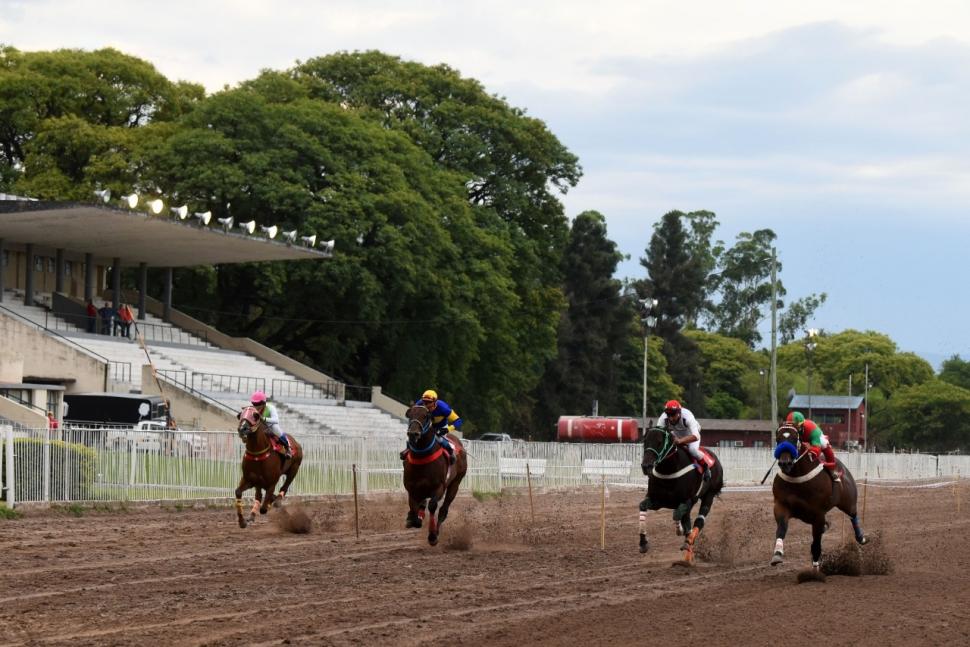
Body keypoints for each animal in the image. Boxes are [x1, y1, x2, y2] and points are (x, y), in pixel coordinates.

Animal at [402, 404, 466, 548]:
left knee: (443, 509)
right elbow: (413, 505)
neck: (422, 456)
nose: (413, 433)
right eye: (410, 415)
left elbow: (432, 506)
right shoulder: (411, 487)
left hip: (455, 483)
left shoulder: (438, 487)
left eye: (425, 416)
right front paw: (412, 519)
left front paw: (432, 536)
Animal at [640, 426, 724, 560]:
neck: (669, 471)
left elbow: (677, 514)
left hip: (709, 495)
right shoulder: (657, 500)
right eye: (645, 441)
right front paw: (643, 543)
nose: (646, 466)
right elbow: (642, 506)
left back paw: (688, 543)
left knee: (699, 520)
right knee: (688, 520)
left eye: (659, 442)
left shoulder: (687, 500)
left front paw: (679, 530)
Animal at [768, 426, 864, 572]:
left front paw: (815, 568)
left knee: (853, 514)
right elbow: (781, 529)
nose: (785, 463)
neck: (797, 477)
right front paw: (777, 554)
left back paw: (861, 537)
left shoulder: (818, 514)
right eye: (778, 439)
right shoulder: (781, 505)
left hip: (848, 502)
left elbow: (817, 543)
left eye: (794, 438)